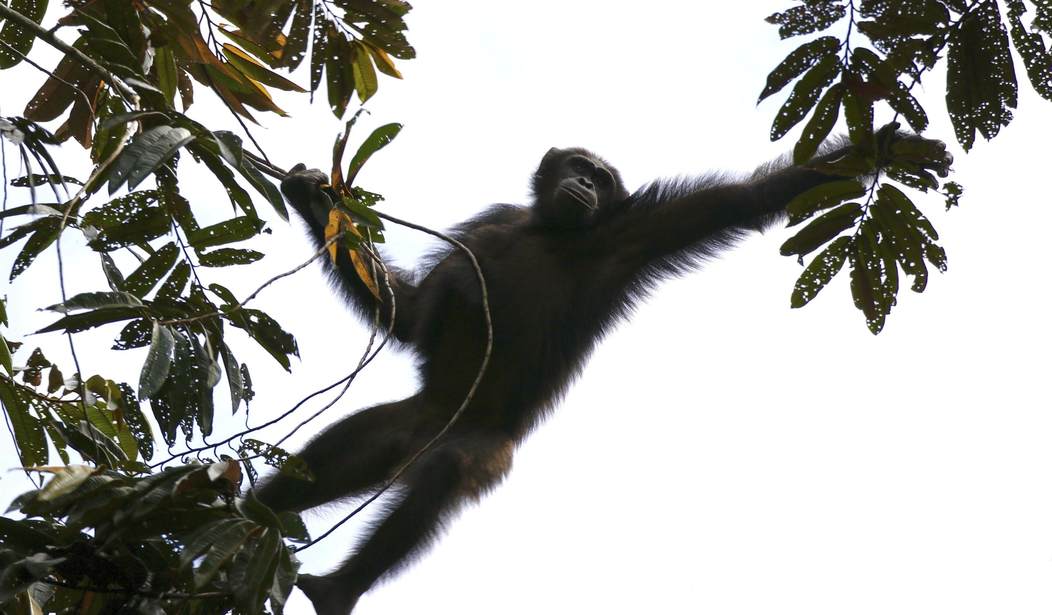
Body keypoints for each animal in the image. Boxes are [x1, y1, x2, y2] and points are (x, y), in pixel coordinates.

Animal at [257, 137, 952, 614]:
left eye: (601, 178)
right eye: (578, 166)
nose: (585, 184)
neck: (551, 232)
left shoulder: (636, 233)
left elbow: (744, 201)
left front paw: (897, 147)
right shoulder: (487, 222)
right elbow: (412, 313)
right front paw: (315, 199)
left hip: (480, 444)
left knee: (447, 470)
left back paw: (338, 588)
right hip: (409, 425)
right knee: (333, 454)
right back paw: (242, 507)